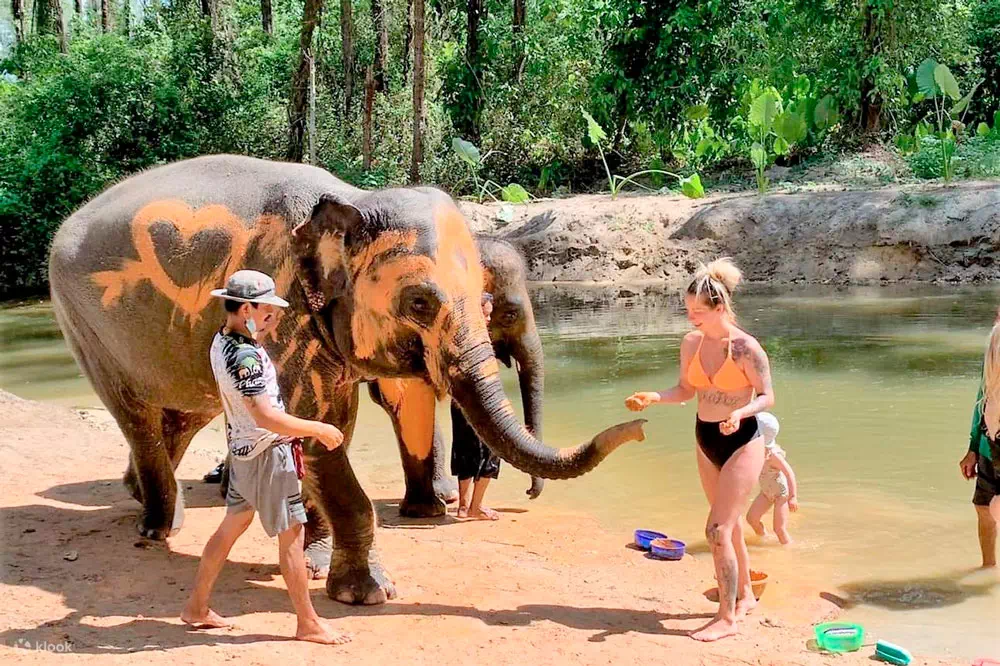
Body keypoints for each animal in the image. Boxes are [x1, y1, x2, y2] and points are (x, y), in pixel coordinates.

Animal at [48, 154, 646, 605]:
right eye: (420, 302)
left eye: (484, 301)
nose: (637, 424)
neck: (353, 200)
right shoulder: (283, 310)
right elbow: (313, 427)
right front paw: (370, 593)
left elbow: (345, 420)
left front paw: (314, 561)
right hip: (82, 322)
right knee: (138, 415)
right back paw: (157, 529)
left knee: (183, 413)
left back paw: (144, 498)